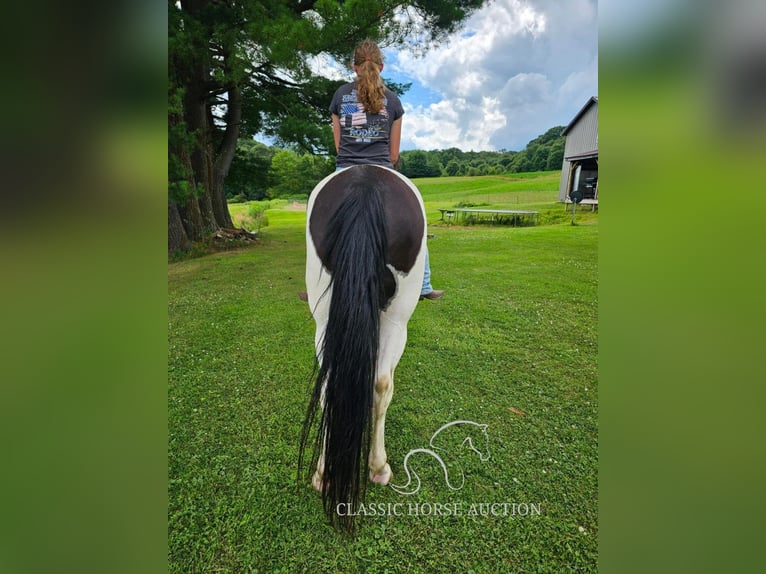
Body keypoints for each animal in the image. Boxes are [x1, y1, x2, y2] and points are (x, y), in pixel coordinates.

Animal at [300, 164, 428, 532]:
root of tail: (365, 183)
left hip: (326, 316)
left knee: (330, 385)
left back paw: (324, 474)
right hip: (398, 320)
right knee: (381, 384)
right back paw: (378, 466)